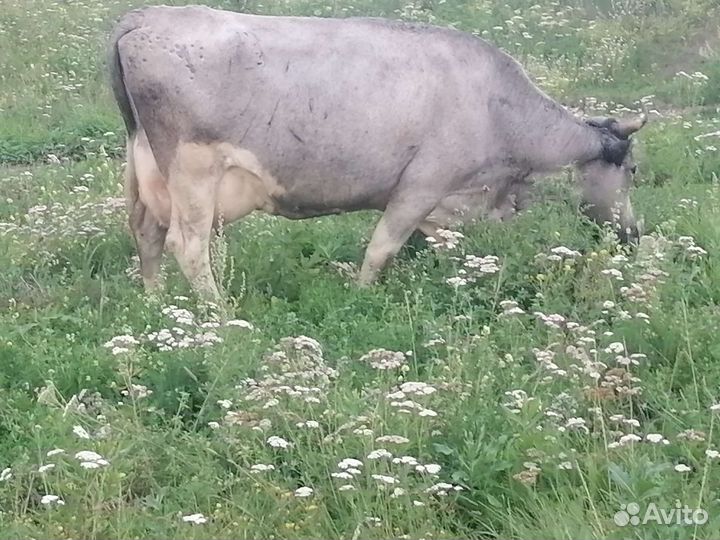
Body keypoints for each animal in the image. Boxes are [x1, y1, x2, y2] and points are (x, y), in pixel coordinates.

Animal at [108, 5, 646, 300]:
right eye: (634, 171)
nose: (633, 235)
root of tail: (144, 17)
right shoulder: (422, 185)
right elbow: (381, 248)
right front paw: (362, 296)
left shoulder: (448, 207)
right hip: (193, 170)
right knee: (187, 244)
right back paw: (217, 314)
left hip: (144, 163)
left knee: (146, 232)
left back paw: (154, 304)